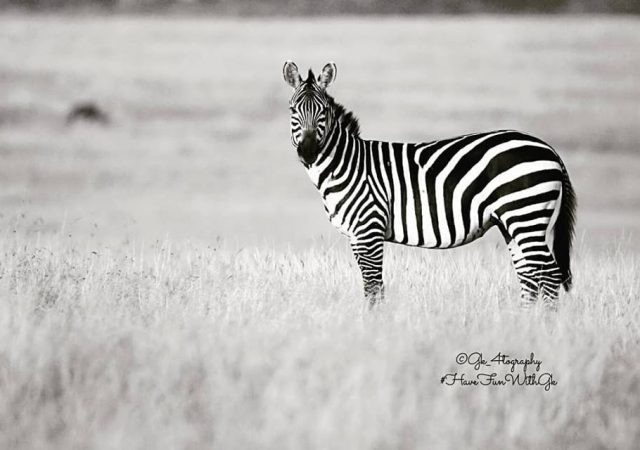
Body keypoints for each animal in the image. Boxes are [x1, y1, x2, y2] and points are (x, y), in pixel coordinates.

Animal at [282, 60, 576, 310]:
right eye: (293, 110)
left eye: (323, 111)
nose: (308, 151)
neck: (346, 164)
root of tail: (550, 149)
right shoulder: (356, 236)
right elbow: (371, 286)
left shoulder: (369, 228)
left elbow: (373, 287)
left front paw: (373, 326)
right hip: (512, 223)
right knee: (529, 276)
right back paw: (524, 323)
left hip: (526, 215)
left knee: (549, 276)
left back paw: (544, 326)